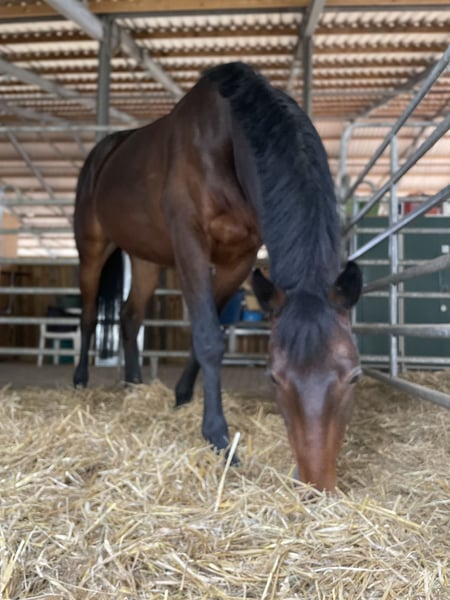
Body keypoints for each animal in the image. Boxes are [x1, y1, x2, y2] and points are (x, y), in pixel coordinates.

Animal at [73, 62, 362, 491]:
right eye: (273, 378)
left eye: (355, 377)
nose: (316, 482)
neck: (226, 140)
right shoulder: (190, 243)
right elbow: (208, 337)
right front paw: (219, 439)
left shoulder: (240, 257)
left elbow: (211, 333)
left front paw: (181, 397)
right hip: (92, 247)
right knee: (90, 313)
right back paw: (79, 381)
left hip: (145, 259)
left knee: (130, 316)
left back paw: (134, 386)